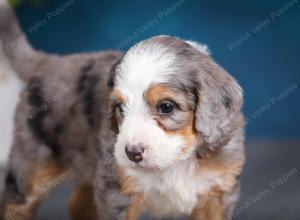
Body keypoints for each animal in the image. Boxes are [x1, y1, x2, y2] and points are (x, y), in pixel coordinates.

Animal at [109, 35, 245, 219]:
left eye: (166, 107)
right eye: (121, 107)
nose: (132, 153)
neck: (178, 161)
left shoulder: (218, 193)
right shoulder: (120, 194)